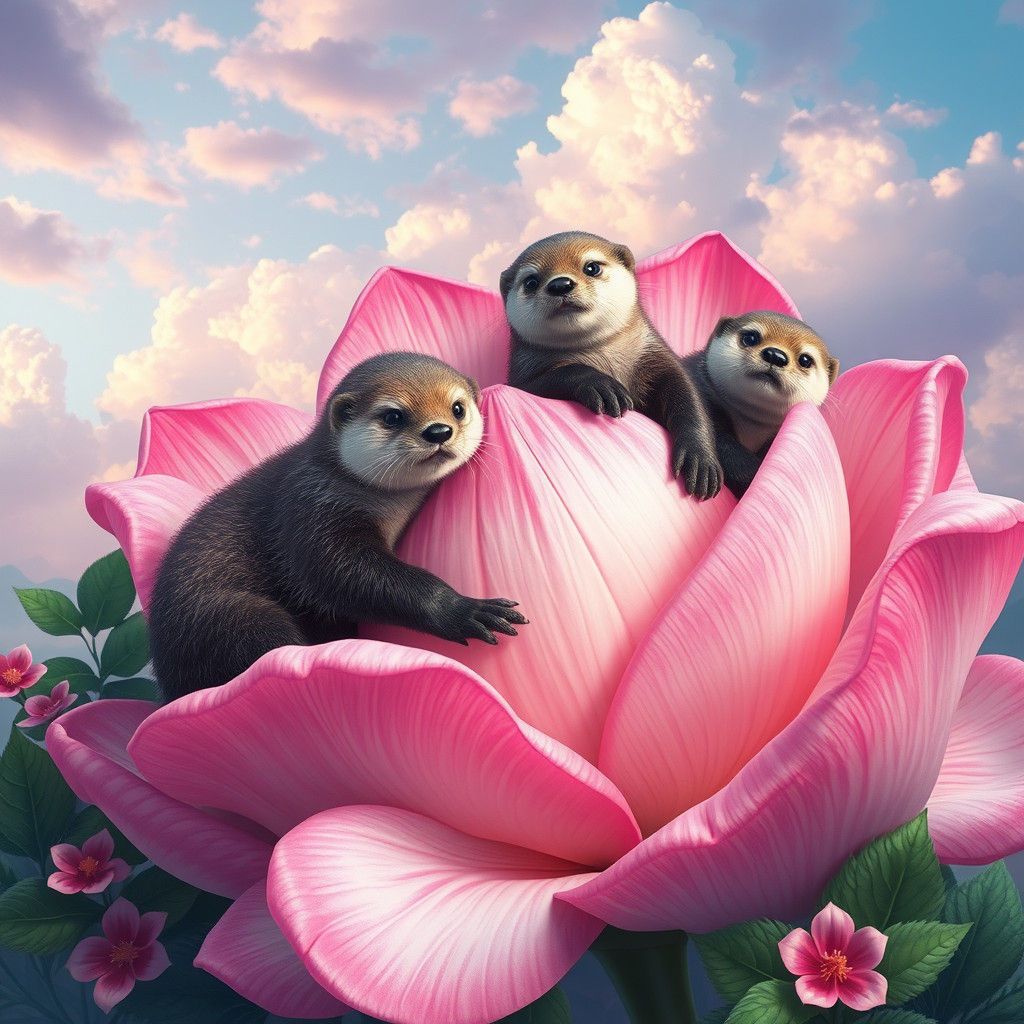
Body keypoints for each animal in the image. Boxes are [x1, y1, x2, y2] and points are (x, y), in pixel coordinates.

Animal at [149, 352, 527, 702]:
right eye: (393, 416)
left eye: (458, 408)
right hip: (231, 619)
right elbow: (341, 575)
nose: (439, 431)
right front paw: (464, 609)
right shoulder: (310, 511)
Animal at [501, 231, 722, 500]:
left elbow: (689, 397)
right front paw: (601, 386)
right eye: (531, 281)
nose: (560, 284)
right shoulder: (521, 374)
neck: (604, 357)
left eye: (592, 267)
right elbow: (553, 378)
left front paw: (700, 459)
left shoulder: (658, 357)